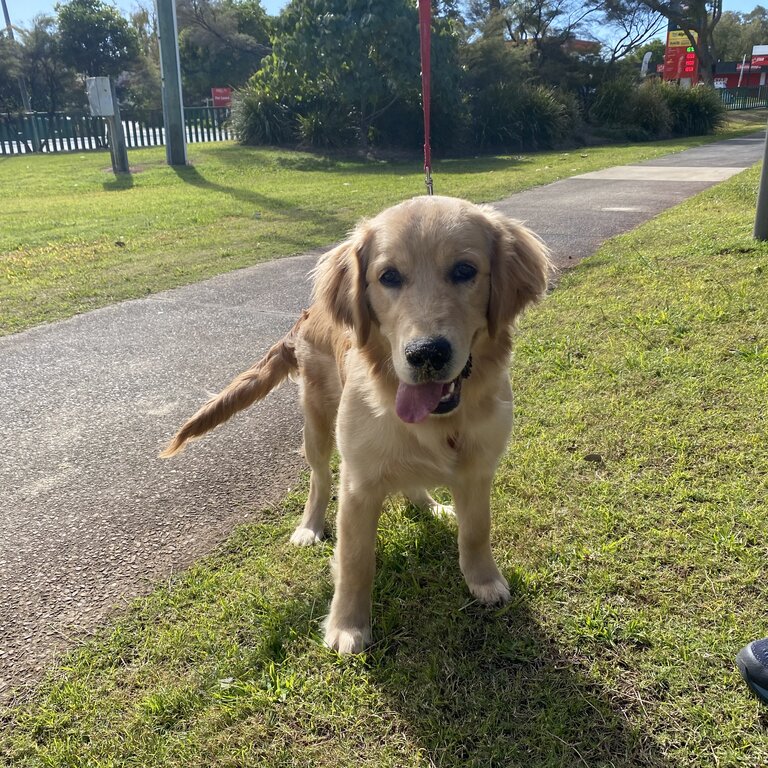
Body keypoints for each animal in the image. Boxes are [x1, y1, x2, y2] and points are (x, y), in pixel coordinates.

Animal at [160, 195, 552, 652]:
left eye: (464, 271)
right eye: (388, 277)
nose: (426, 353)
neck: (440, 421)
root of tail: (306, 314)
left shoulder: (479, 468)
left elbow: (477, 530)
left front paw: (484, 580)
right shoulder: (359, 484)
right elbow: (355, 559)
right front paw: (347, 625)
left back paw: (429, 504)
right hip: (317, 425)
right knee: (319, 479)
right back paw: (309, 527)